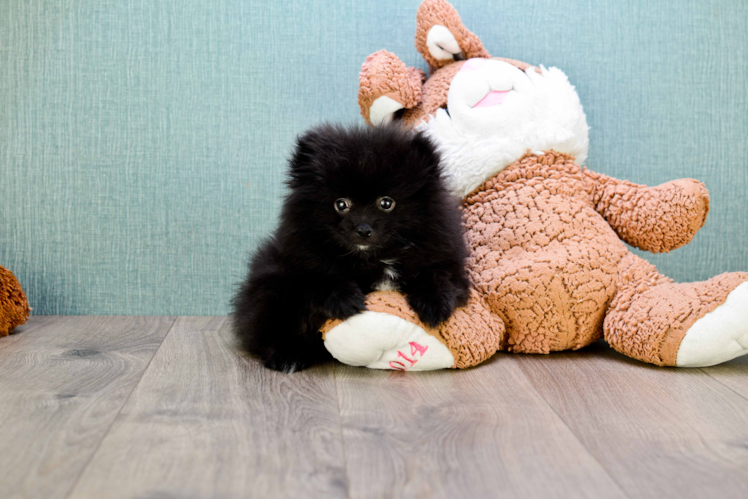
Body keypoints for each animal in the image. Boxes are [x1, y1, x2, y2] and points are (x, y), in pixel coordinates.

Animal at [234, 123, 468, 372]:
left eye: (386, 203)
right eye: (341, 204)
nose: (363, 229)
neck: (374, 258)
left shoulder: (445, 261)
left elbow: (437, 277)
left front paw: (434, 305)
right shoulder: (298, 261)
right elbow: (318, 278)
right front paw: (345, 299)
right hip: (271, 285)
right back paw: (287, 356)